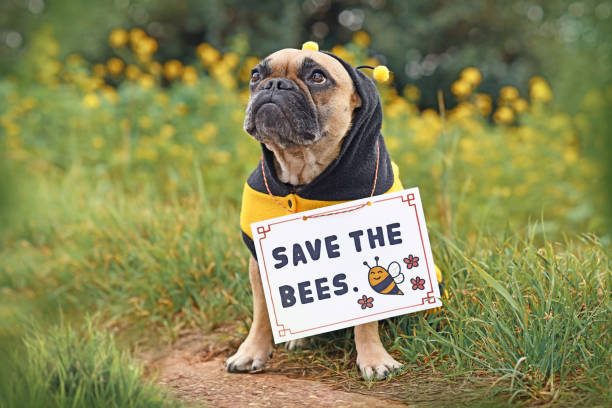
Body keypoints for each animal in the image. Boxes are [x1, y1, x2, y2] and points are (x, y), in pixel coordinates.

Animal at [225, 47, 406, 380]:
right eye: (256, 75)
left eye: (317, 77)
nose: (275, 84)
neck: (300, 165)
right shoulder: (260, 262)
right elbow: (262, 312)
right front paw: (251, 352)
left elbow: (367, 317)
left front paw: (375, 359)